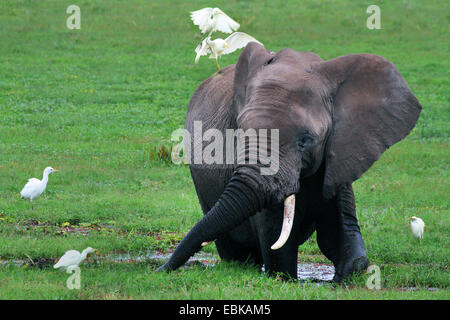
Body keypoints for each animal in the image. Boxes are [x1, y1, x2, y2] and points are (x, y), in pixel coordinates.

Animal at [158, 43, 422, 282]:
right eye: (238, 131)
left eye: (306, 140)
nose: (159, 270)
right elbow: (276, 236)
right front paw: (284, 277)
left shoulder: (339, 154)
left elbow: (339, 234)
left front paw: (346, 275)